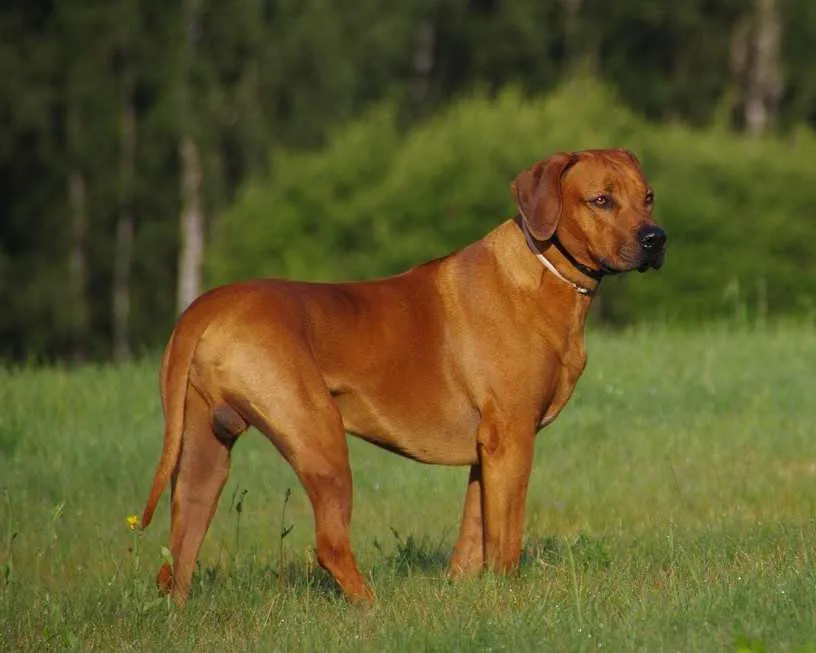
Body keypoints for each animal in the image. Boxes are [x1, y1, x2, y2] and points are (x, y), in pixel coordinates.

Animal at [139, 146, 664, 600]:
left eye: (648, 197)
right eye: (601, 200)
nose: (656, 239)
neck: (544, 273)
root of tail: (205, 306)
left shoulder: (488, 450)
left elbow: (473, 533)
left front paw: (465, 592)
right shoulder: (513, 437)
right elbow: (506, 537)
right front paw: (510, 595)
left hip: (204, 453)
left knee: (178, 554)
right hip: (319, 437)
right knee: (330, 545)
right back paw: (372, 607)